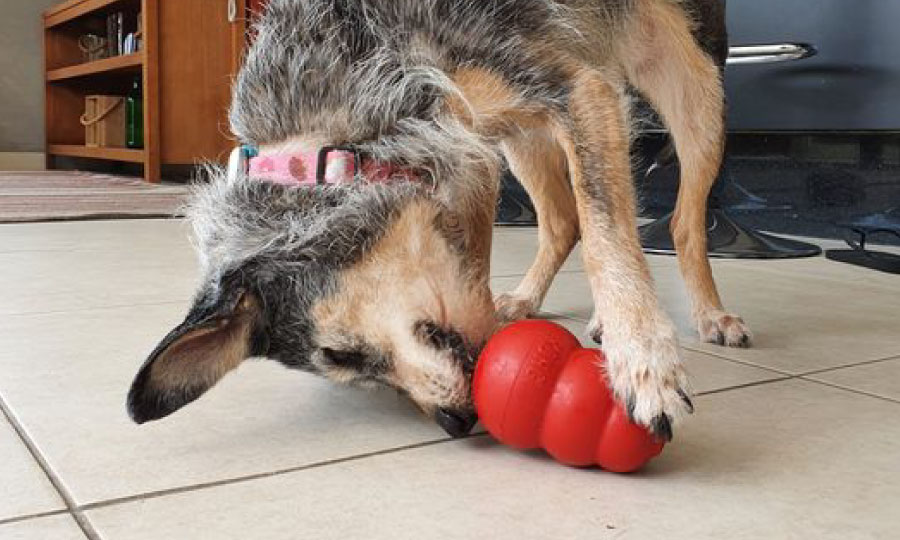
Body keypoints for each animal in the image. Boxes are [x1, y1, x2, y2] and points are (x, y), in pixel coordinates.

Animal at [125, 0, 744, 442]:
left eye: (342, 355)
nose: (456, 424)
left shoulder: (575, 89)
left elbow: (606, 231)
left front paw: (644, 360)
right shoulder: (472, 147)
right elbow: (485, 253)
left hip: (692, 82)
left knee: (681, 219)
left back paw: (710, 315)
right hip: (520, 138)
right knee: (561, 220)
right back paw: (531, 301)